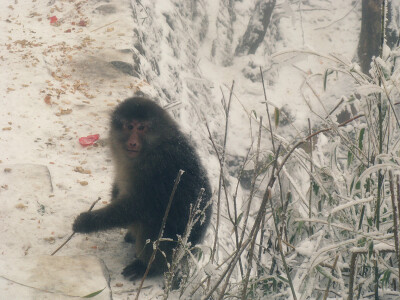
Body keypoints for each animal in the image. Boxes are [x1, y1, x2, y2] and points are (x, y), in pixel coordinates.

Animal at [73, 97, 214, 280]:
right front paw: (114, 193)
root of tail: (190, 251)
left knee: (153, 222)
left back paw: (147, 267)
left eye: (141, 128)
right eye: (129, 126)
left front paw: (87, 221)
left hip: (174, 250)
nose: (132, 142)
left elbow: (137, 207)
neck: (152, 147)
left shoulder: (155, 168)